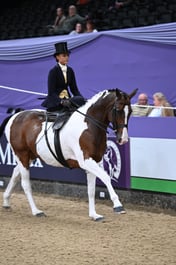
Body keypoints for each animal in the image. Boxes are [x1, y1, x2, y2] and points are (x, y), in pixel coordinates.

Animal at [0, 87, 138, 220]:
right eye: (118, 109)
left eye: (130, 111)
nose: (123, 139)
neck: (89, 126)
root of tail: (15, 116)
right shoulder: (85, 161)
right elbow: (106, 177)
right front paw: (118, 205)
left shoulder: (95, 161)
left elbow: (91, 189)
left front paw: (94, 215)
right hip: (21, 154)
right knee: (25, 183)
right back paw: (36, 211)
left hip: (30, 156)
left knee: (15, 173)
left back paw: (6, 201)